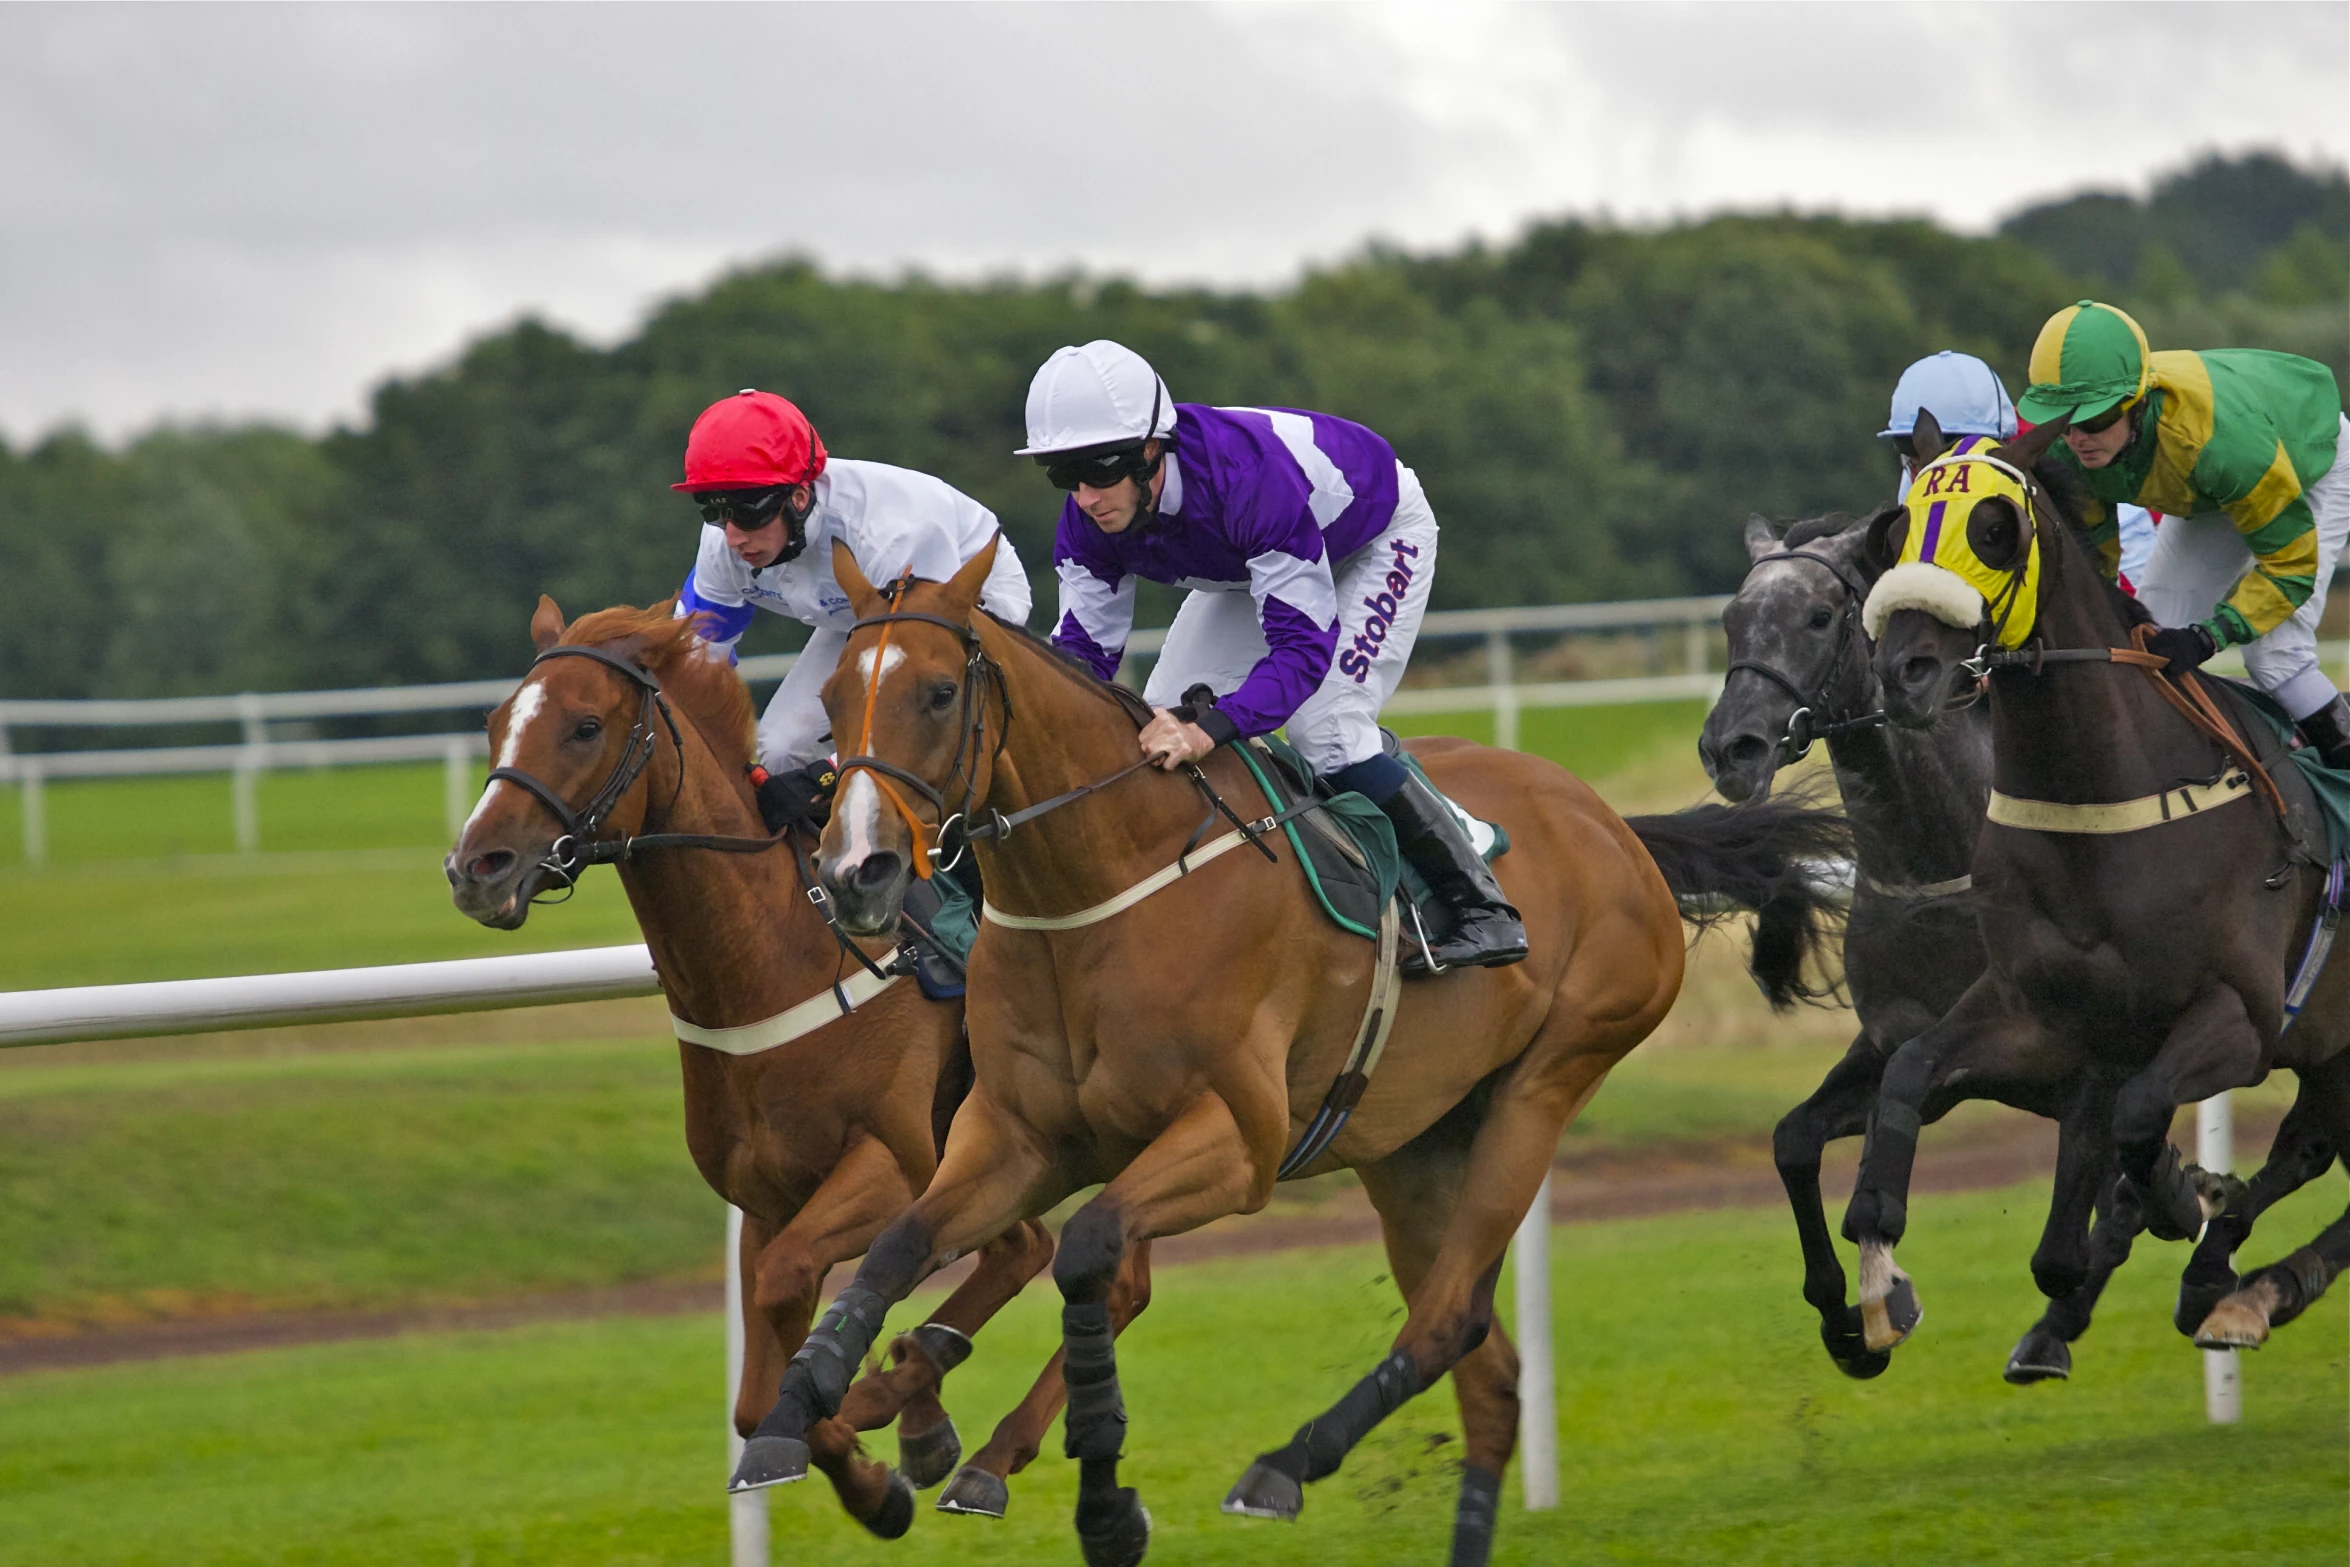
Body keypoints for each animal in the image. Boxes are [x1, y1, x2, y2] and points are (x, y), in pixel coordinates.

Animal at [451, 606, 1137, 1541]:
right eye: (496, 723)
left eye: (586, 725)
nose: (475, 866)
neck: (777, 953)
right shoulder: (768, 1197)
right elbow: (753, 1392)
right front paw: (873, 1473)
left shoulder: (894, 1163)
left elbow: (793, 1298)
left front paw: (862, 1437)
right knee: (1047, 1253)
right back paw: (933, 1415)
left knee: (1091, 1267)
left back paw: (958, 1434)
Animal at [723, 542, 1842, 1567]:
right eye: (831, 696)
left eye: (941, 691)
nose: (856, 872)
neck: (1098, 890)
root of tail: (1612, 824)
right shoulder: (1015, 1138)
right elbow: (899, 1246)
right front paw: (800, 1413)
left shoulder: (1236, 1143)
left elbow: (1088, 1253)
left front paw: (1099, 1498)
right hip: (1415, 1145)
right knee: (1488, 1373)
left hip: (1542, 1087)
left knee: (1446, 1321)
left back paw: (1283, 1464)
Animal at [1851, 422, 2350, 1362]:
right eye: (1893, 533)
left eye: (1996, 528)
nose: (1905, 672)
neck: (2097, 803)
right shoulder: (2040, 1014)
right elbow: (1909, 1067)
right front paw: (1876, 1267)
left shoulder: (2242, 1016)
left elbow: (2140, 1114)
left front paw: (2176, 1193)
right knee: (2309, 1144)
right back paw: (2233, 1280)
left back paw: (2250, 1283)